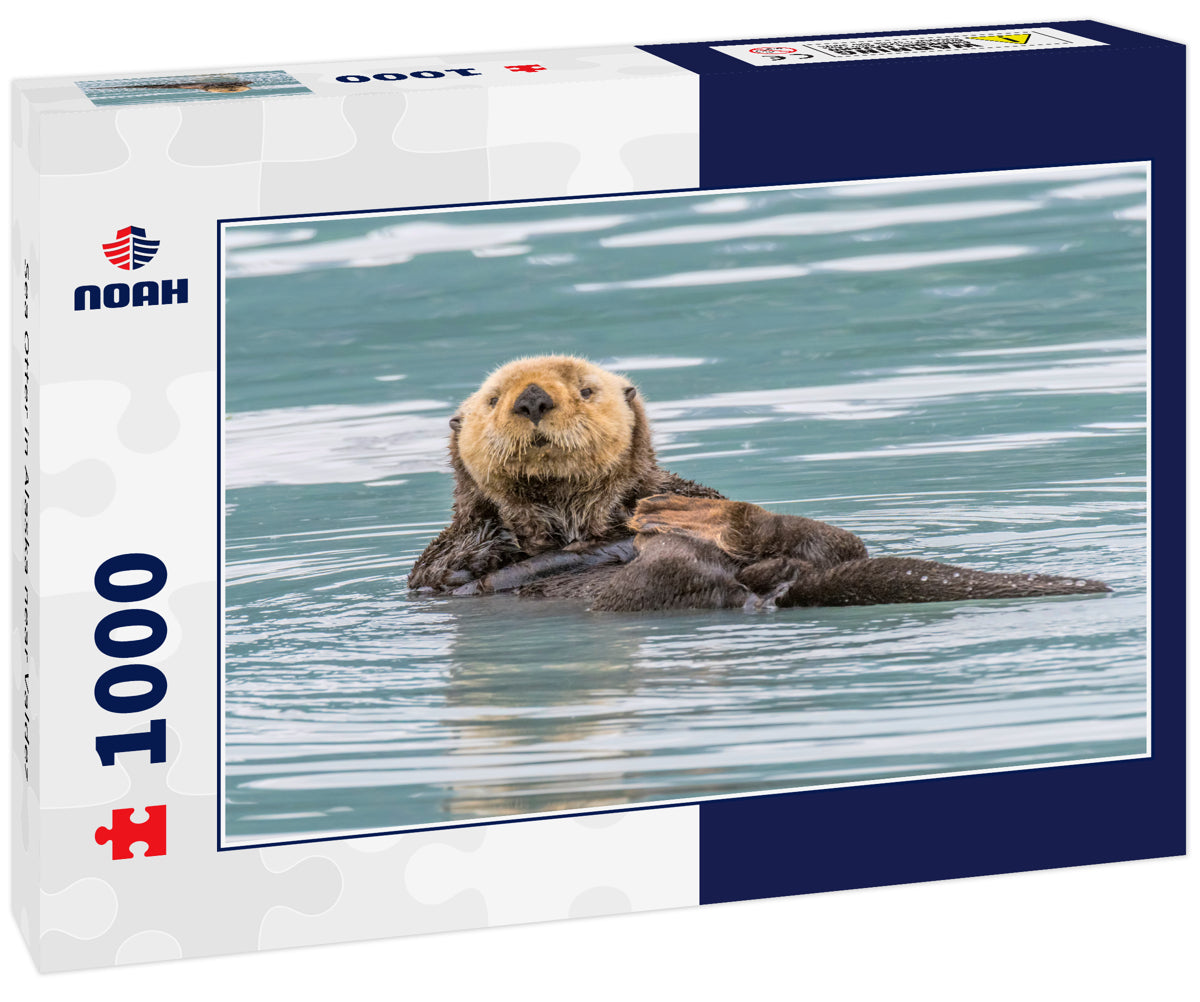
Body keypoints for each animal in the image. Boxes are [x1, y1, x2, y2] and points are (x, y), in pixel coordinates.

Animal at [408, 356, 1109, 611]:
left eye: (584, 389)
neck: (576, 519)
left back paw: (695, 522)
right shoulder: (442, 558)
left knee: (836, 542)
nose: (531, 399)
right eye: (493, 399)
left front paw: (630, 526)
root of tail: (769, 586)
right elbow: (460, 571)